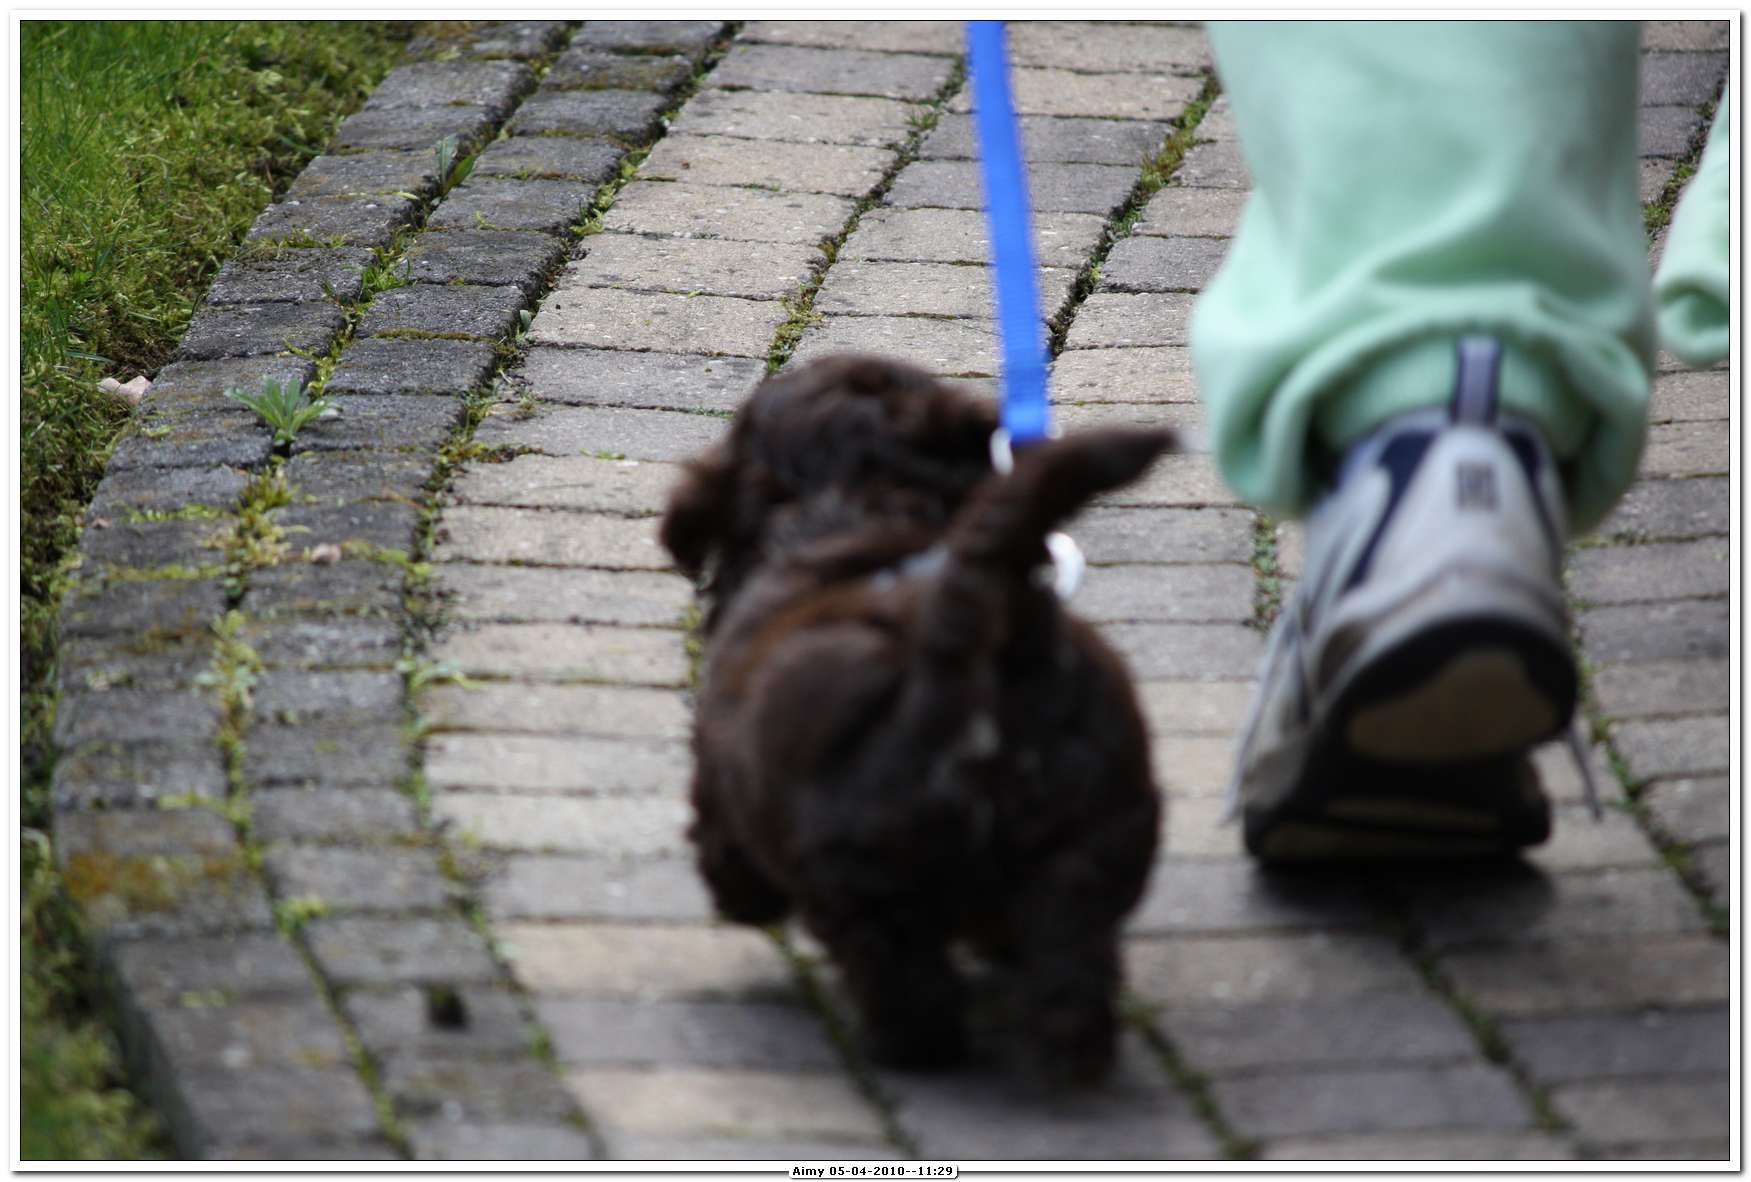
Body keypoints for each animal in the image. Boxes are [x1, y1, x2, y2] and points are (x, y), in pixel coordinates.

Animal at [660, 354, 1172, 1085]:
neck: (859, 504)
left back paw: (904, 1048)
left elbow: (720, 839)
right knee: (1072, 956)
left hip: (863, 863)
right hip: (1100, 826)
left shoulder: (722, 771)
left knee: (903, 973)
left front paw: (740, 898)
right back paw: (1068, 1054)